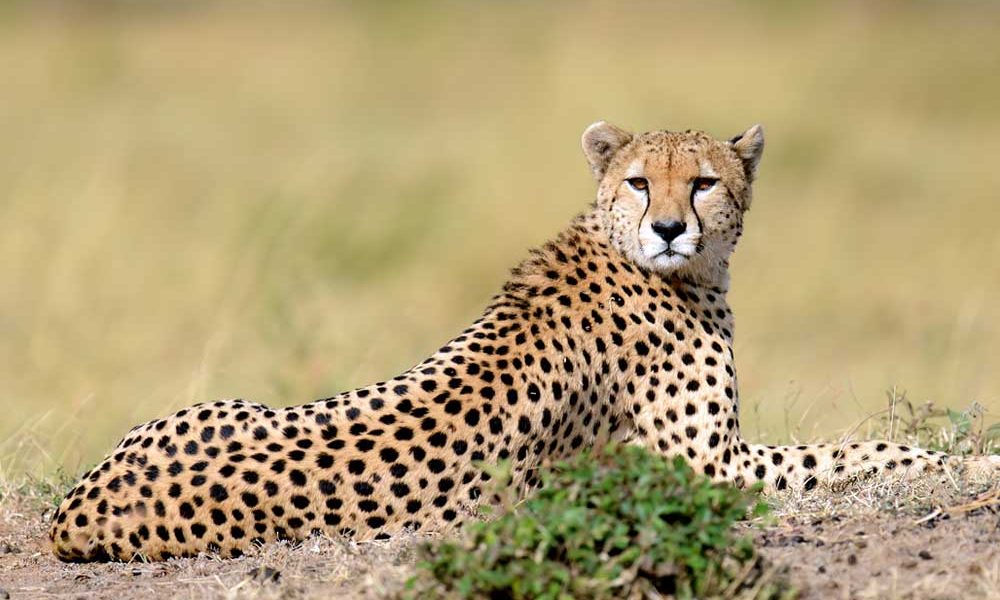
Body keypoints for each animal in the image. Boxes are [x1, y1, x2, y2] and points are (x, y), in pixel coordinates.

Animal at [52, 123, 992, 564]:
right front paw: (970, 463)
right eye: (641, 181)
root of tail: (70, 514)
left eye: (704, 182)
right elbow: (858, 449)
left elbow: (857, 446)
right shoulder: (710, 470)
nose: (669, 228)